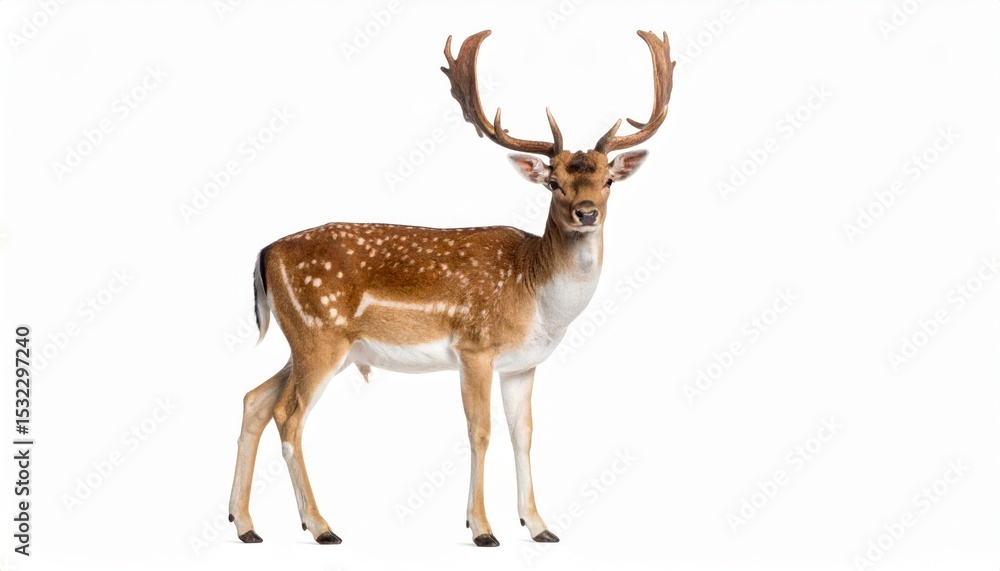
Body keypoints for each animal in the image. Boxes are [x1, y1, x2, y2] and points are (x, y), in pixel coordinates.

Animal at [228, 29, 673, 547]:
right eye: (554, 183)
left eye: (607, 180)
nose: (587, 213)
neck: (536, 295)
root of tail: (265, 253)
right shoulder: (474, 346)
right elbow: (480, 430)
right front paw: (481, 529)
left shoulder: (522, 365)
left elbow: (524, 433)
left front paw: (540, 526)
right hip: (319, 334)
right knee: (289, 414)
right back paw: (320, 527)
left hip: (308, 341)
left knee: (254, 399)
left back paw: (245, 525)